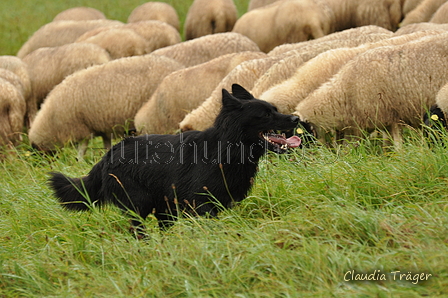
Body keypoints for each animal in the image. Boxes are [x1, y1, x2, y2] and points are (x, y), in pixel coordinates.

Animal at [28, 55, 183, 157]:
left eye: (39, 153)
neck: (51, 119)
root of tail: (178, 66)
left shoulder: (81, 128)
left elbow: (82, 148)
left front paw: (80, 161)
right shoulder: (102, 128)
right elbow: (106, 144)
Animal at [49, 84, 300, 230]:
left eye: (275, 109)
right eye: (265, 114)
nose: (296, 118)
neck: (225, 149)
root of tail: (108, 156)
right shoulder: (202, 206)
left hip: (164, 209)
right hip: (140, 205)